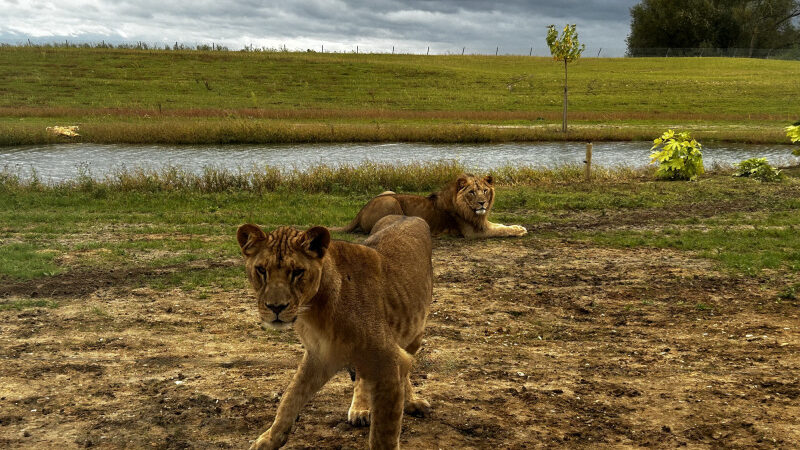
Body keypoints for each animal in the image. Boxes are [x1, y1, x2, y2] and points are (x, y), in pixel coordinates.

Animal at [238, 216, 434, 448]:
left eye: (297, 272)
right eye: (261, 270)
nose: (276, 307)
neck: (313, 311)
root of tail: (409, 215)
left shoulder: (390, 363)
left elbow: (383, 436)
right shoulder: (319, 355)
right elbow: (290, 397)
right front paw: (269, 440)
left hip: (415, 335)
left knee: (406, 371)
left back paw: (411, 401)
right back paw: (360, 409)